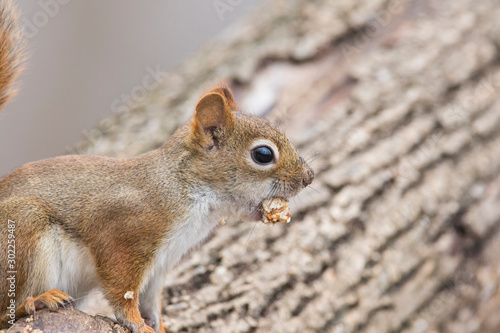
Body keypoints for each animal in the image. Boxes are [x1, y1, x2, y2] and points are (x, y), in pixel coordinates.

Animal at [0, 1, 312, 330]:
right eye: (263, 155)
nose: (309, 177)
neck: (191, 192)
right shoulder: (123, 233)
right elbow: (121, 291)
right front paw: (137, 323)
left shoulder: (161, 263)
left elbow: (151, 300)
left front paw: (159, 325)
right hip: (23, 228)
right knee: (5, 309)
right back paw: (37, 300)